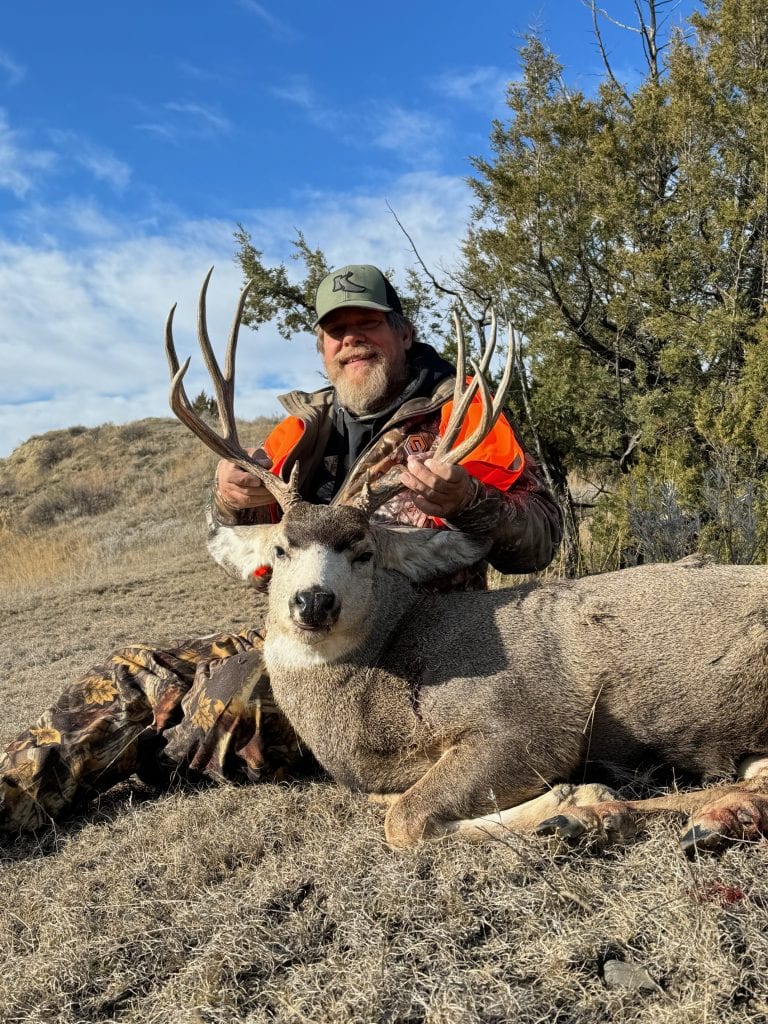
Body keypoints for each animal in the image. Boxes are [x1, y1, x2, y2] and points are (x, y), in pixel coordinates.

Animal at [164, 272, 768, 856]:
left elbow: (404, 820)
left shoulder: (529, 722)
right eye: (280, 549)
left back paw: (605, 818)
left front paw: (575, 797)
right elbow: (391, 805)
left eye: (363, 552)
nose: (313, 601)